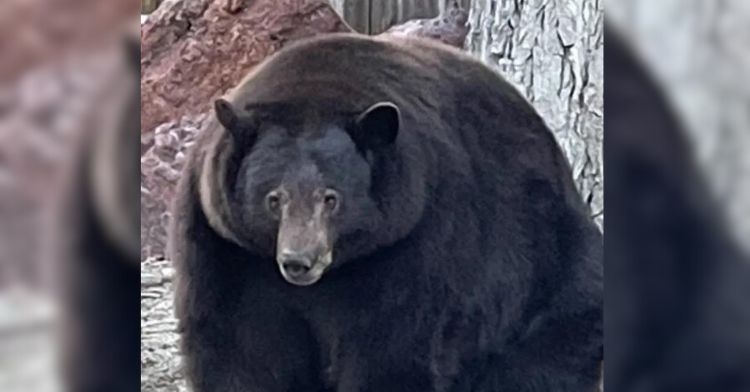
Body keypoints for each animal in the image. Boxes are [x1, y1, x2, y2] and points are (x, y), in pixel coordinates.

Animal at [172, 33, 604, 392]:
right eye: (273, 198)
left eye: (331, 198)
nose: (299, 261)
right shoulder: (227, 248)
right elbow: (240, 346)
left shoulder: (417, 235)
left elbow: (395, 344)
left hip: (544, 274)